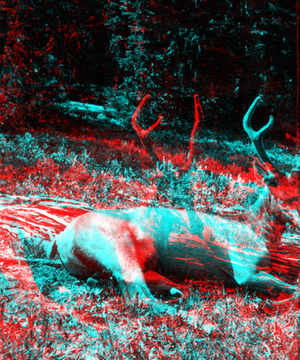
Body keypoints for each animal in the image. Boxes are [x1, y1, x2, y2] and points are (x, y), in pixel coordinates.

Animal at [48, 94, 298, 322]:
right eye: (277, 189)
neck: (256, 233)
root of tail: (60, 240)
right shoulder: (243, 269)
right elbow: (294, 288)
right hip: (119, 250)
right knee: (140, 296)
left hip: (141, 265)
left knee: (160, 289)